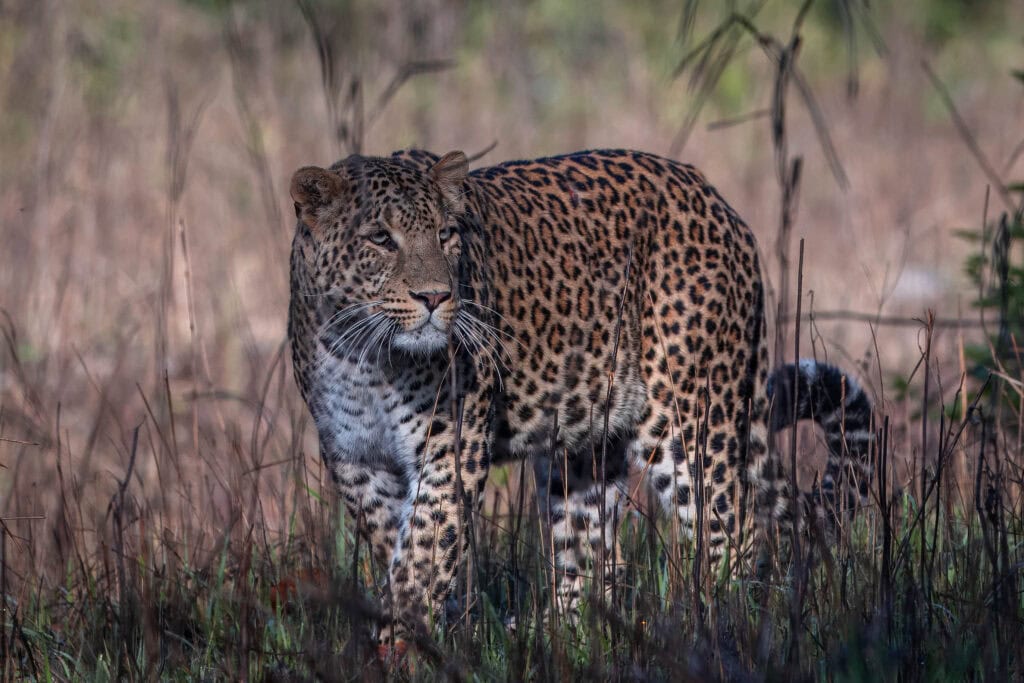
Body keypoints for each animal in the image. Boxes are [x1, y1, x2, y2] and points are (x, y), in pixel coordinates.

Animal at [287, 147, 874, 647]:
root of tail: (718, 201)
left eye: (445, 233)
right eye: (380, 239)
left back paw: (715, 632)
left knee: (733, 532)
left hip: (692, 422)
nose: (436, 297)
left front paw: (402, 647)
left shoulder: (450, 450)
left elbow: (420, 560)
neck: (365, 357)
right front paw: (438, 633)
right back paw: (554, 638)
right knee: (592, 562)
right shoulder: (356, 462)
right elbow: (400, 549)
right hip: (583, 447)